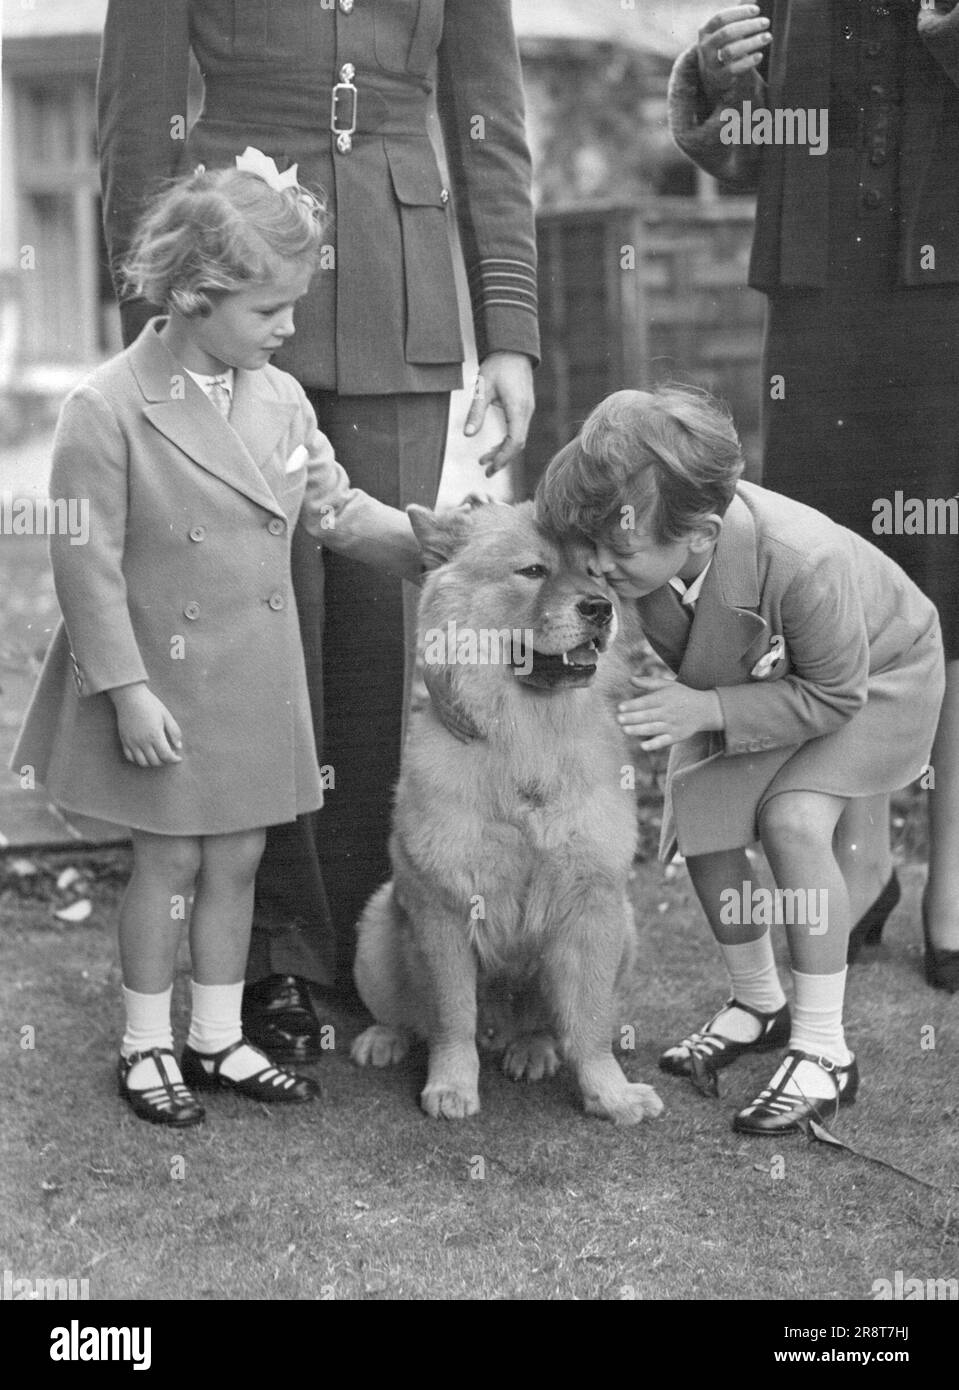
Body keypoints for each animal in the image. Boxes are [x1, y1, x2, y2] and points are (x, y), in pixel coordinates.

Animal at [347, 505, 661, 1123]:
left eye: (596, 573)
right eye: (533, 571)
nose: (600, 607)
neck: (528, 736)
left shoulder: (593, 904)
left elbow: (590, 1024)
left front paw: (611, 1096)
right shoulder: (443, 904)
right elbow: (450, 1016)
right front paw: (451, 1088)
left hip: (627, 928)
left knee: (545, 1024)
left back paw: (532, 1050)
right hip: (376, 925)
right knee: (407, 1016)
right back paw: (384, 1039)